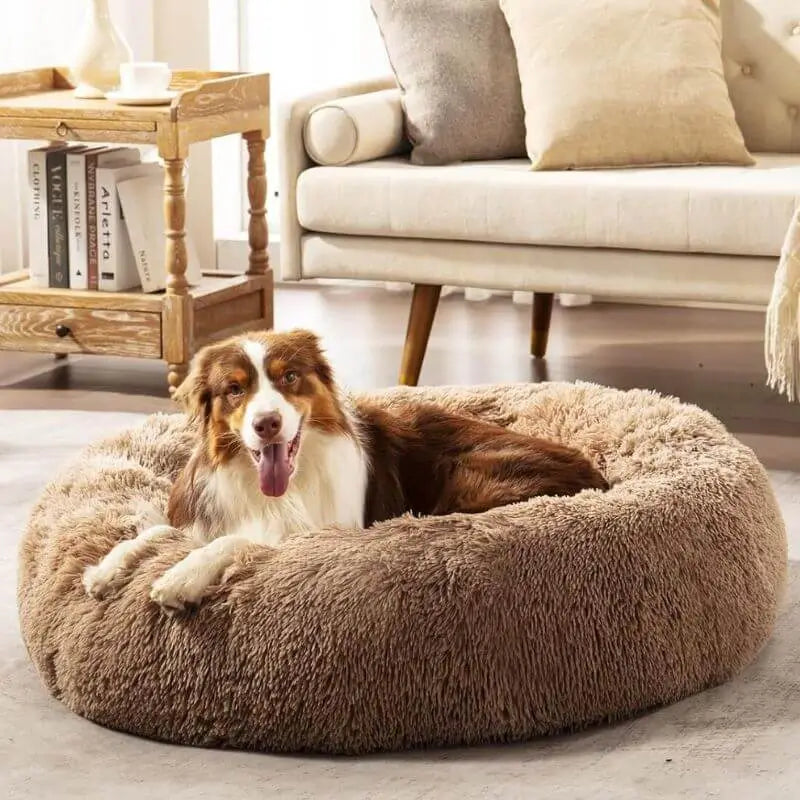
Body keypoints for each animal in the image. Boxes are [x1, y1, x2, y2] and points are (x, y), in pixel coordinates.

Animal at [83, 332, 608, 612]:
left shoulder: (314, 533)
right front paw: (105, 568)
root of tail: (598, 476)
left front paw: (181, 578)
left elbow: (236, 542)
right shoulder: (201, 514)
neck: (272, 488)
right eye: (234, 389)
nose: (266, 423)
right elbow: (152, 533)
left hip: (469, 476)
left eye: (289, 378)